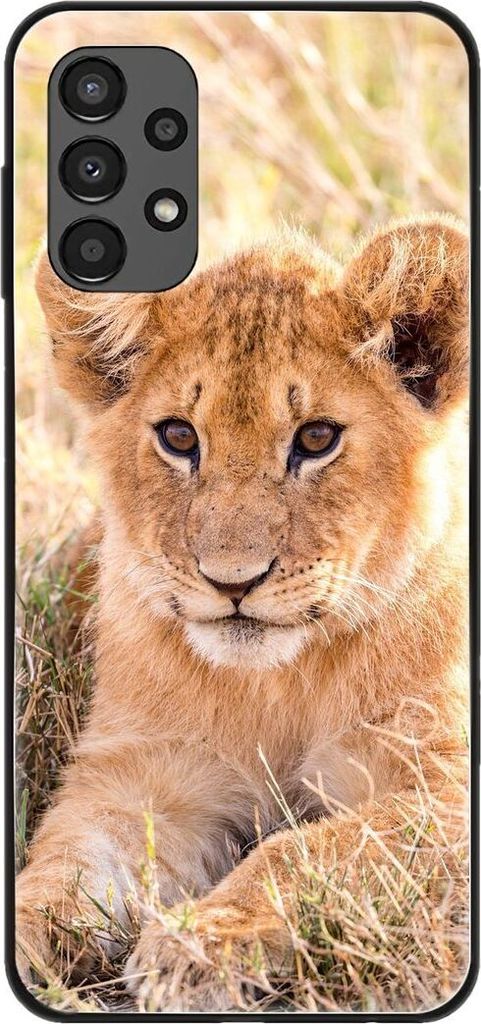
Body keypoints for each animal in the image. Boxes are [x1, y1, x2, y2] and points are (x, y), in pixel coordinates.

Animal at [15, 215, 470, 1011]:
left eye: (316, 438)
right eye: (178, 437)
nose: (233, 582)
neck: (278, 685)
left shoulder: (444, 786)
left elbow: (311, 850)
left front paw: (197, 945)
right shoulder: (142, 775)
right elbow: (65, 858)